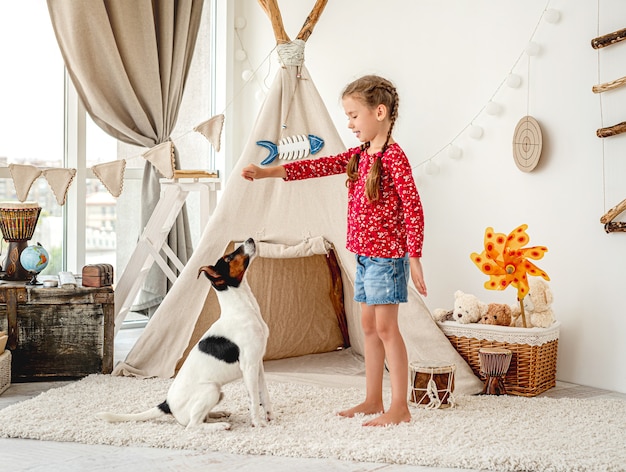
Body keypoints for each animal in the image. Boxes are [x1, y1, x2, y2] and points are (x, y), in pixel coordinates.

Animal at [97, 240, 270, 432]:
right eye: (228, 258)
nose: (250, 239)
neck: (243, 308)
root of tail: (167, 404)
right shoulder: (249, 366)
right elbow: (254, 399)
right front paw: (258, 423)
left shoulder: (258, 365)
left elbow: (264, 395)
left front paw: (269, 416)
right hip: (211, 390)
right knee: (193, 425)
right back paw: (220, 425)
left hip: (218, 392)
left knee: (201, 418)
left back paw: (218, 414)